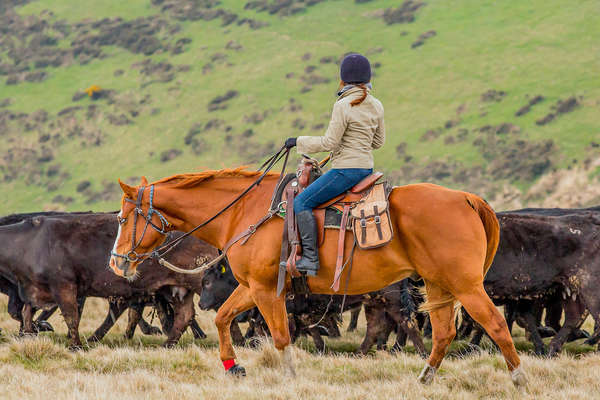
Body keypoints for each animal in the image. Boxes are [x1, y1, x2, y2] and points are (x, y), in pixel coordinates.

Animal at [108, 167, 524, 386]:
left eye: (124, 218)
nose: (116, 263)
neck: (246, 211)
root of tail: (467, 198)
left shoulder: (266, 290)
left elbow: (279, 335)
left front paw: (290, 377)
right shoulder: (251, 287)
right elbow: (225, 318)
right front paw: (234, 366)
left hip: (466, 286)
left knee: (495, 325)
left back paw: (518, 380)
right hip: (438, 285)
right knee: (443, 333)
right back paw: (424, 379)